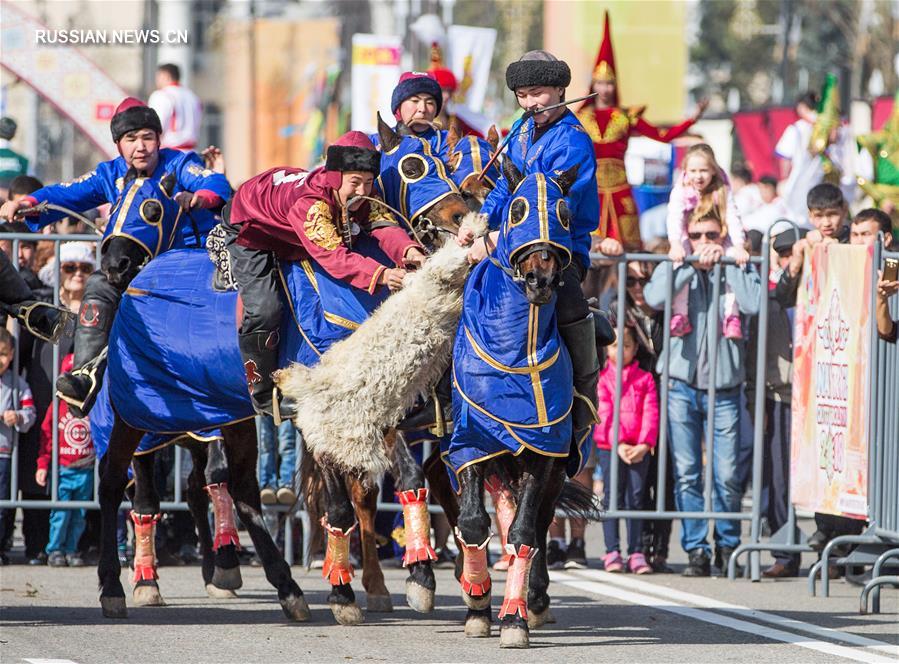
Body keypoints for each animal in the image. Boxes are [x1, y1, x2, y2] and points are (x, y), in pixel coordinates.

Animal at [448, 158, 596, 644]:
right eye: (517, 209)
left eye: (565, 213)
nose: (541, 278)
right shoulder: (471, 442)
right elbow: (473, 523)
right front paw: (476, 599)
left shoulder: (546, 451)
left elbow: (525, 530)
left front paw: (515, 617)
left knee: (540, 519)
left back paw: (535, 598)